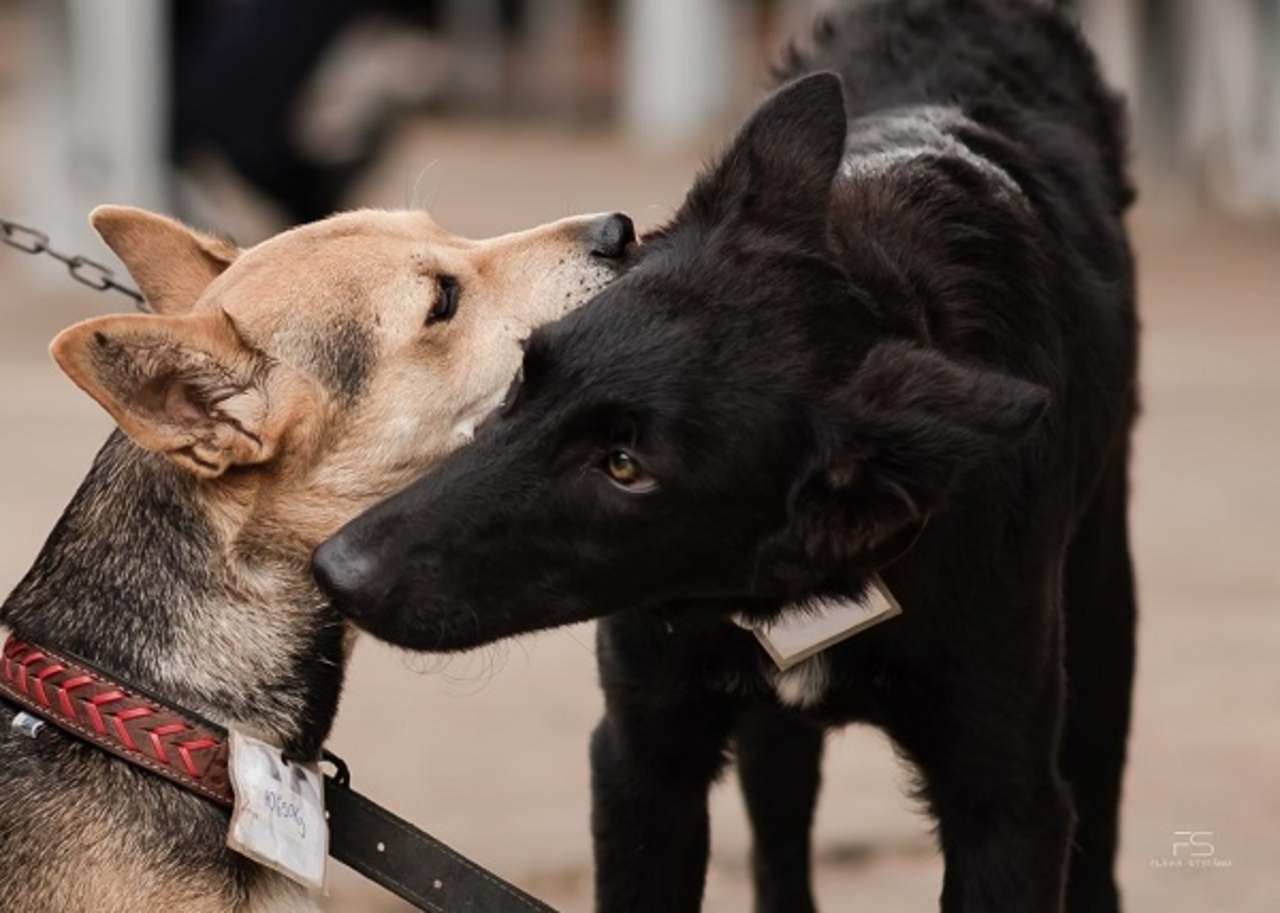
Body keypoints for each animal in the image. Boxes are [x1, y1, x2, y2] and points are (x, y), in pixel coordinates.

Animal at [314, 3, 1136, 906]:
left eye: (626, 467)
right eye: (530, 368)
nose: (335, 571)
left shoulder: (1006, 806)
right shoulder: (645, 758)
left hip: (1101, 650)